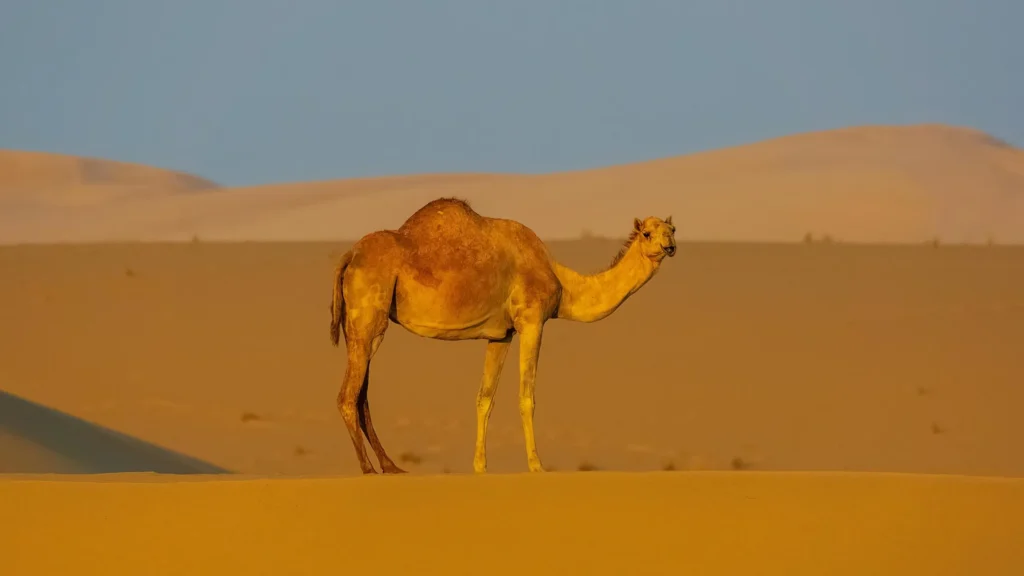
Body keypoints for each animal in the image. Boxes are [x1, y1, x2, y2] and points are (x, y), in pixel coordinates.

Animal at [329, 197, 677, 474]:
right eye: (648, 233)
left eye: (671, 230)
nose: (669, 246)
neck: (562, 282)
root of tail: (349, 256)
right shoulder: (532, 321)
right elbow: (527, 396)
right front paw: (536, 465)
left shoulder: (501, 334)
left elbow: (484, 398)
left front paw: (480, 466)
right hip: (368, 317)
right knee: (348, 395)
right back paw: (368, 469)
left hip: (359, 325)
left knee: (361, 395)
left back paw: (391, 466)